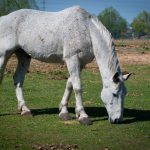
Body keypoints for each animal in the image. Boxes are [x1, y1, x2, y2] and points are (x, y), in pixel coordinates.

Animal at [0, 6, 131, 124]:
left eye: (125, 93)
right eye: (114, 94)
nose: (118, 120)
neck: (86, 29)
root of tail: (4, 18)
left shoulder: (80, 63)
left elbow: (69, 85)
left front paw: (64, 112)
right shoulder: (72, 59)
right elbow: (77, 87)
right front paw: (83, 116)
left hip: (24, 56)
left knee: (18, 79)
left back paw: (25, 110)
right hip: (3, 55)